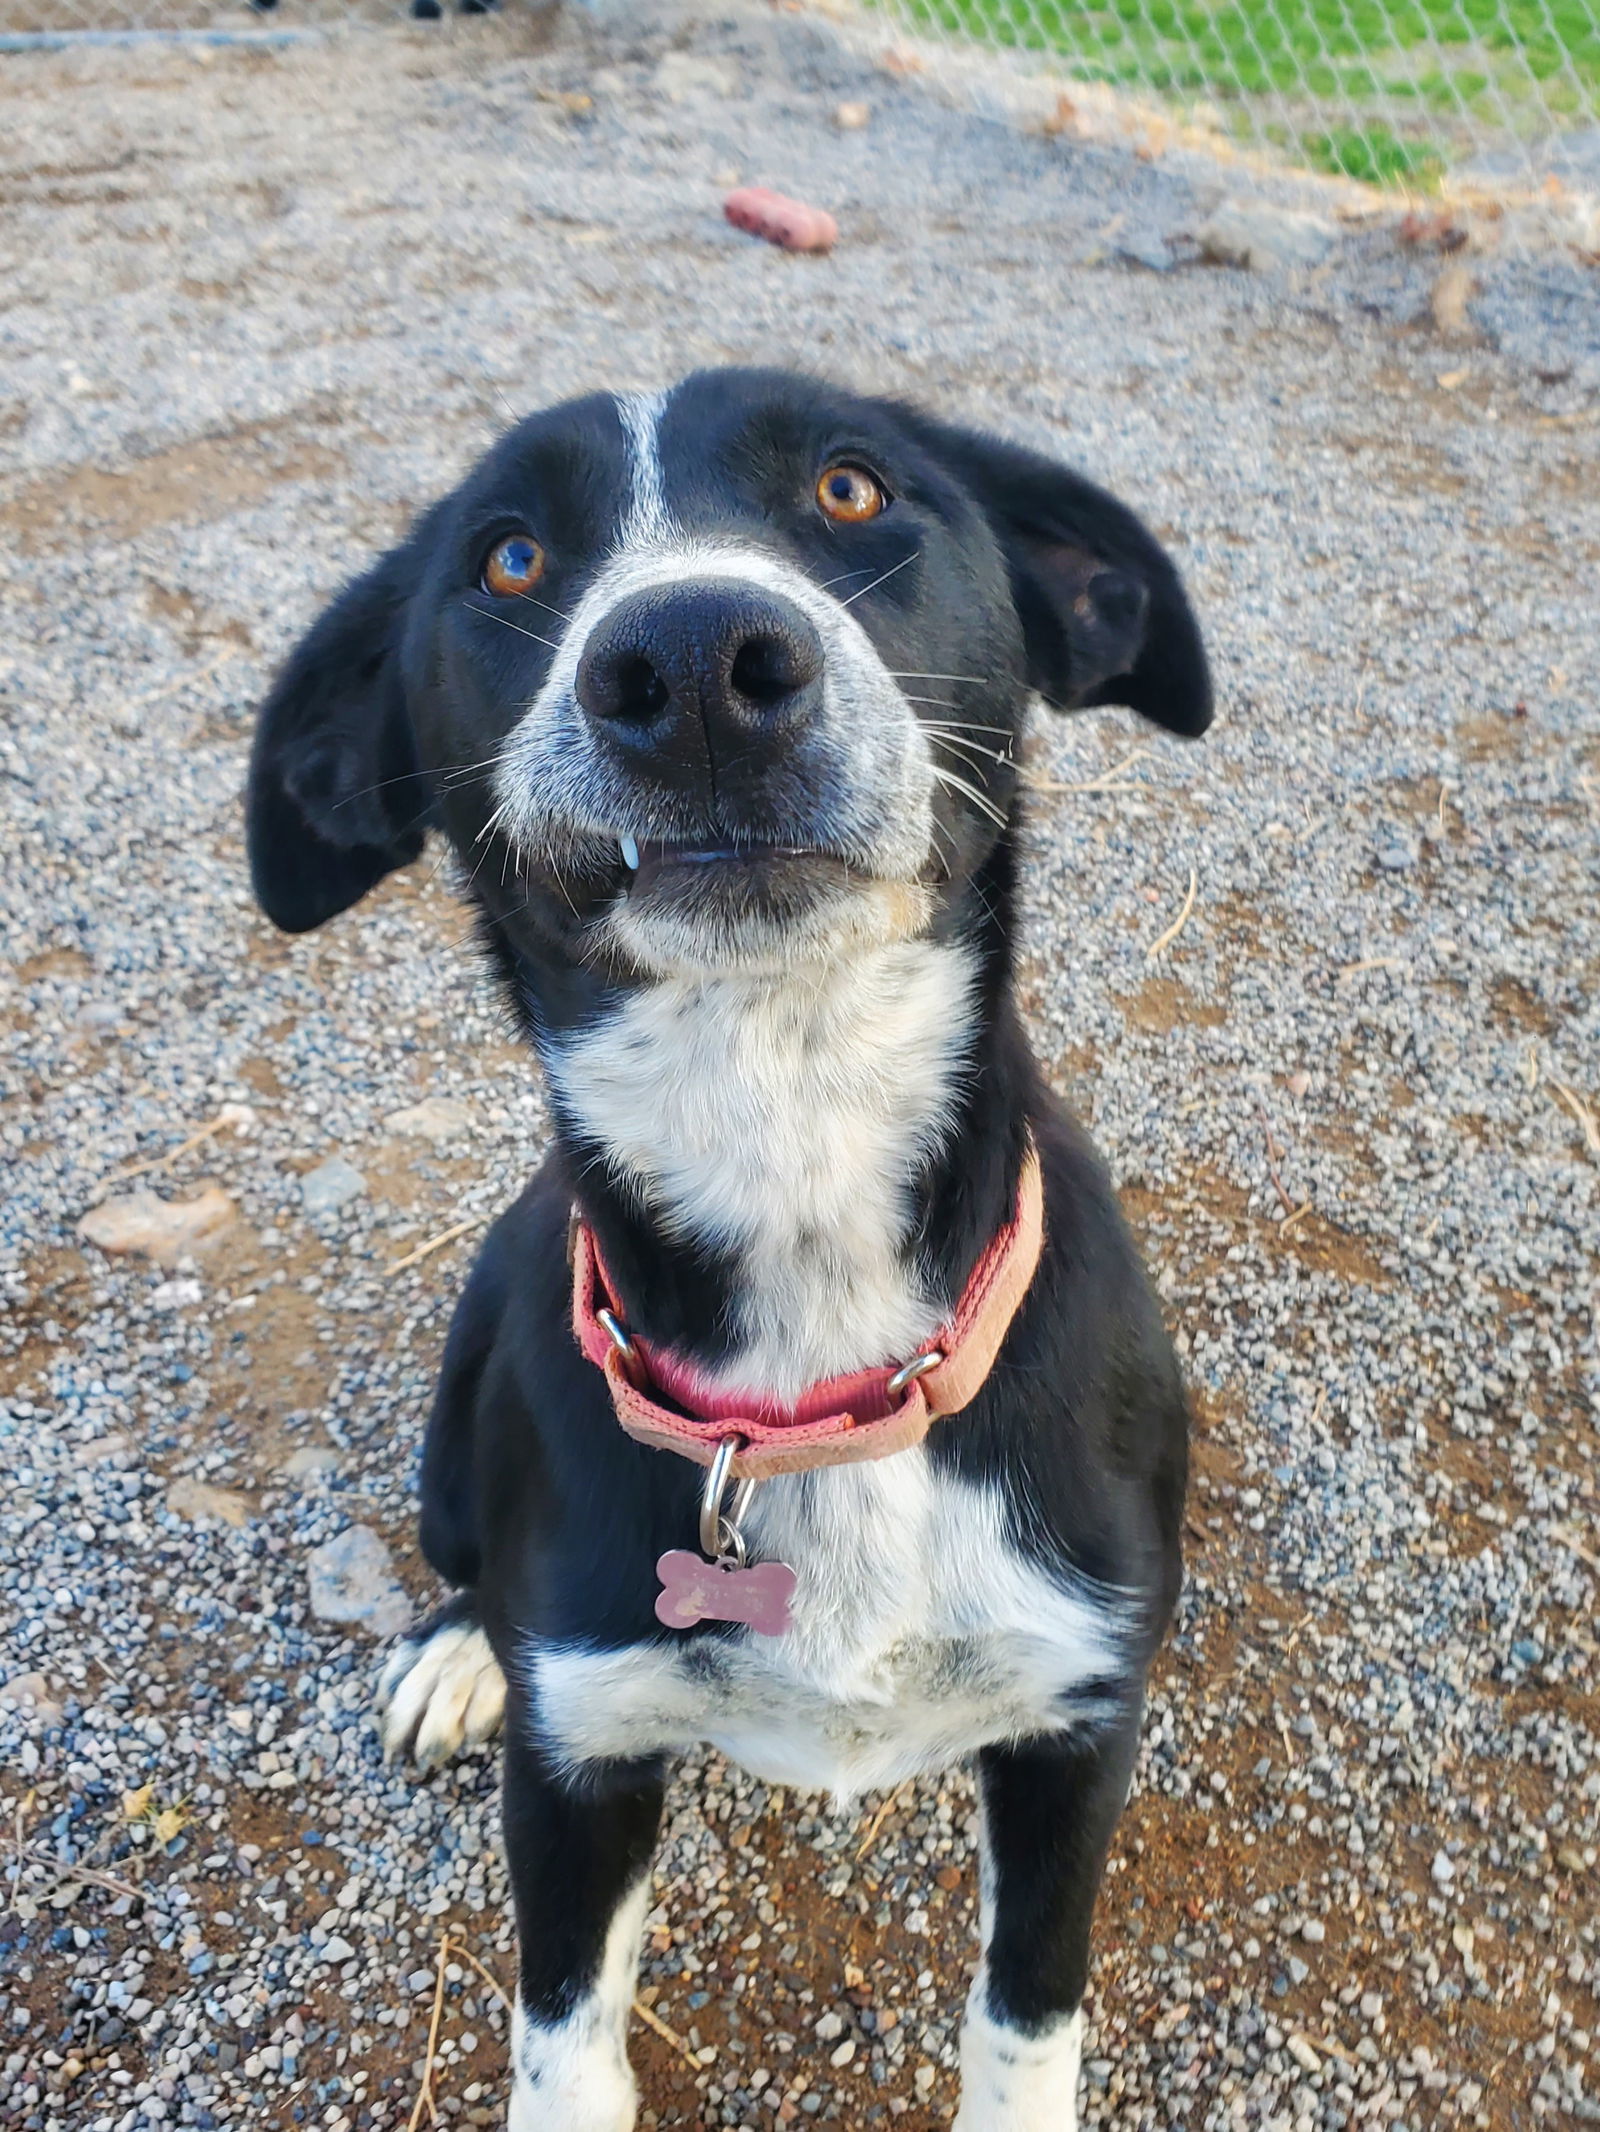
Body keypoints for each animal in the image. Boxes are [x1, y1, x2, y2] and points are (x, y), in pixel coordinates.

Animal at [244, 370, 1211, 2132]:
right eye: (505, 557)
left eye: (851, 486)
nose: (692, 661)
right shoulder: (575, 1780)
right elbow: (563, 2053)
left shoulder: (1079, 1726)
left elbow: (1024, 2027)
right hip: (455, 1430)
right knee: (464, 1565)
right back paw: (455, 1656)